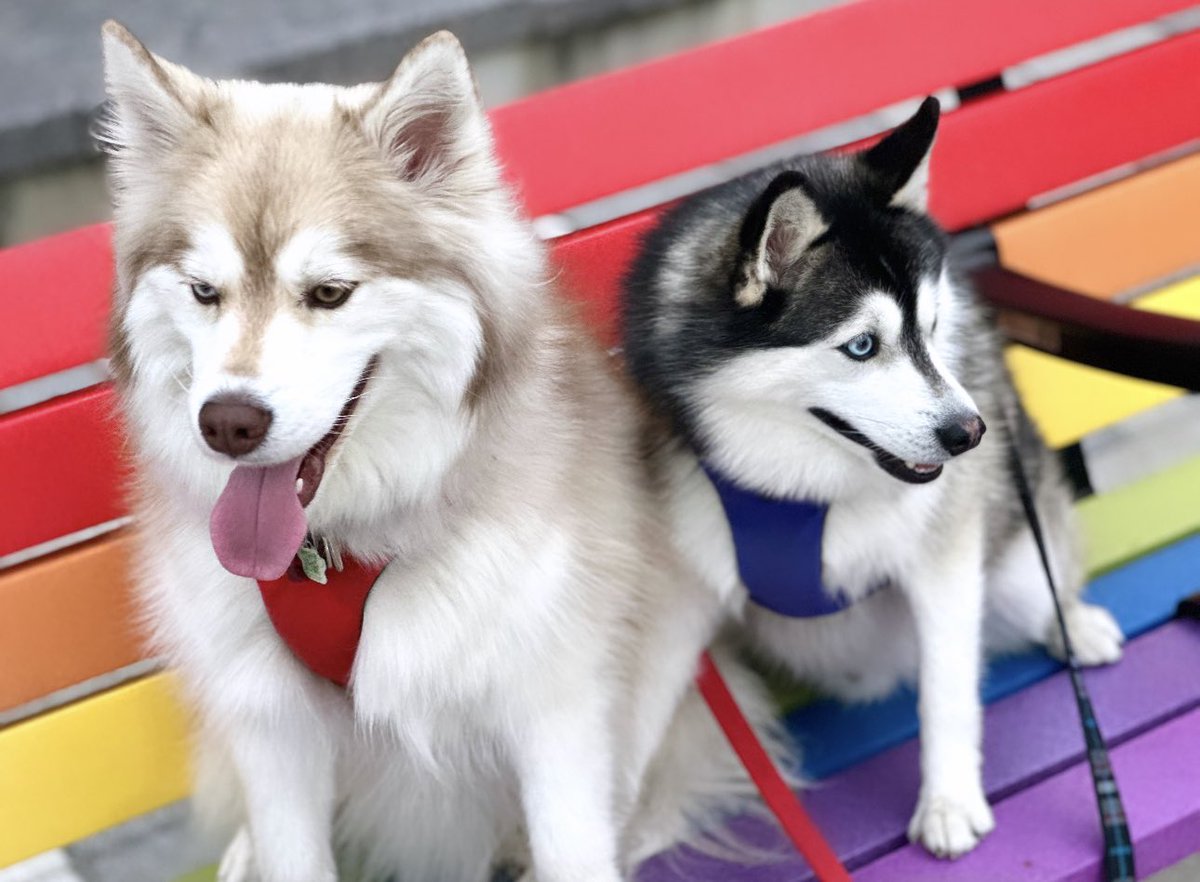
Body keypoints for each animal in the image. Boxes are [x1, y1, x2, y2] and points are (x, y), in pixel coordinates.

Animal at [100, 20, 777, 882]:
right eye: (202, 291)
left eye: (329, 293)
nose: (227, 423)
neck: (332, 551)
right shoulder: (267, 718)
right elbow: (291, 847)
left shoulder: (555, 701)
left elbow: (573, 842)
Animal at [619, 100, 1123, 859]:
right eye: (861, 346)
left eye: (934, 328)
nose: (972, 432)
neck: (798, 488)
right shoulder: (678, 597)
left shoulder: (945, 559)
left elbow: (947, 688)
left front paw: (947, 801)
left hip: (1016, 560)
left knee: (1041, 589)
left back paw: (1079, 625)